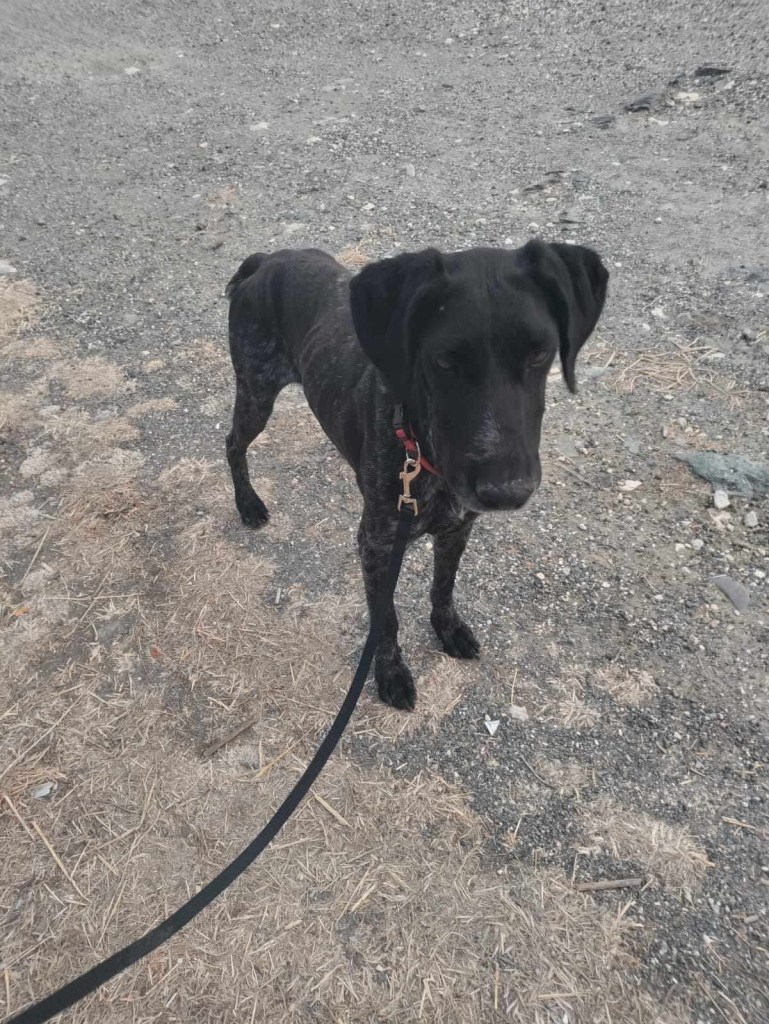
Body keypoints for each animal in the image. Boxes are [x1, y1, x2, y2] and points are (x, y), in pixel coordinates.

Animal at [225, 241, 608, 710]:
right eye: (444, 361)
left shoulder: (457, 528)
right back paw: (247, 504)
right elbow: (385, 620)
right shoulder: (377, 546)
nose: (507, 491)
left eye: (540, 353)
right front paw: (390, 674)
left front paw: (448, 629)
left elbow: (443, 586)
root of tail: (263, 262)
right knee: (232, 444)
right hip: (256, 392)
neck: (421, 448)